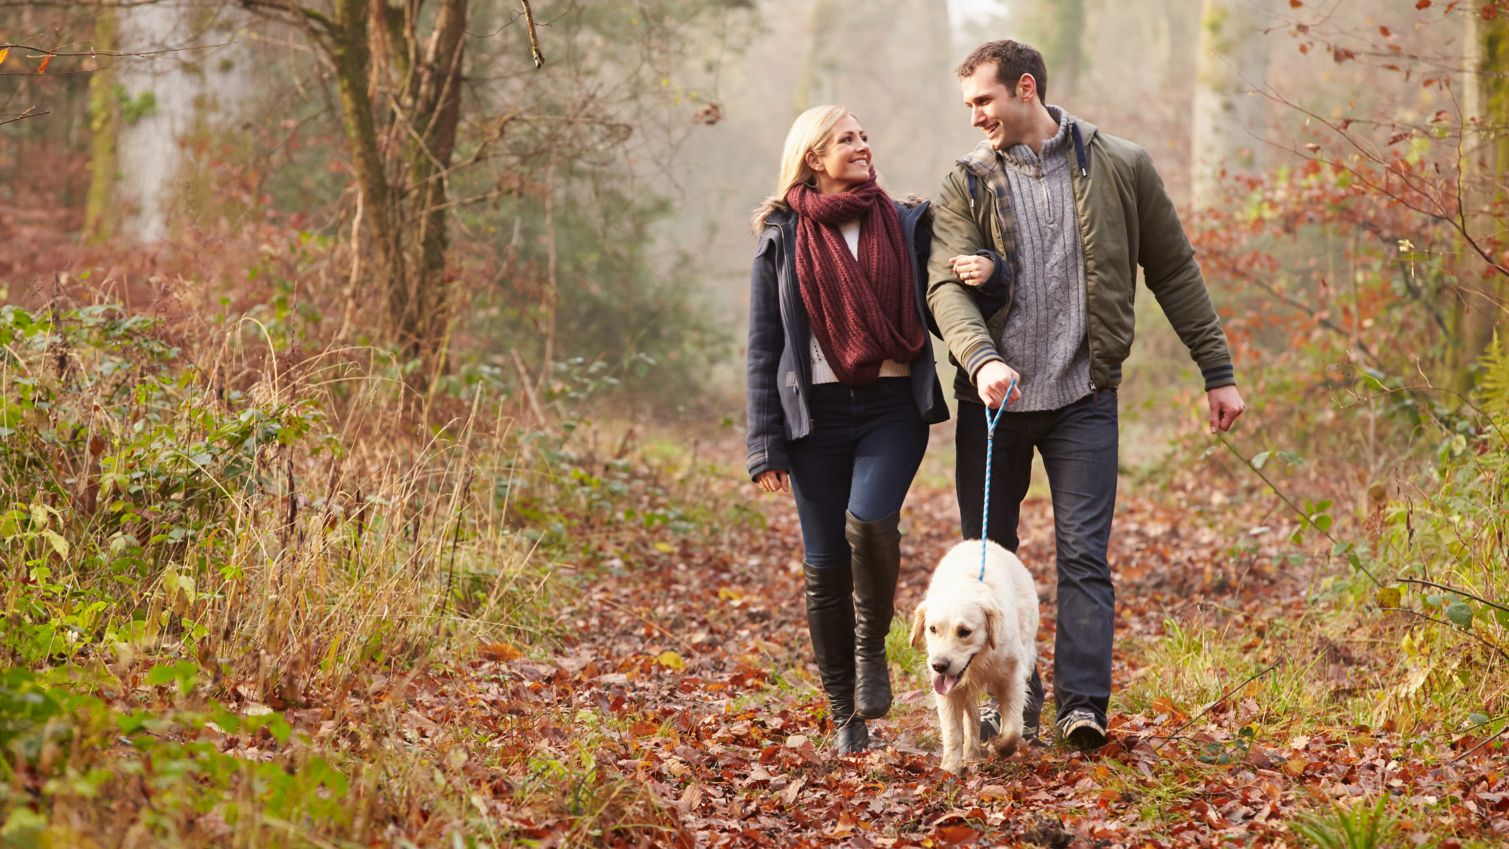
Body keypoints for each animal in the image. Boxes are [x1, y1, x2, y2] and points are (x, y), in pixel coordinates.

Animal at [905, 542, 1038, 772]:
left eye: (964, 631)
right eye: (932, 629)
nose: (939, 665)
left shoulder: (1012, 676)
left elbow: (1013, 729)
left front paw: (999, 747)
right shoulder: (946, 691)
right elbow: (952, 731)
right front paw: (950, 768)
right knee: (972, 716)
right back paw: (971, 753)